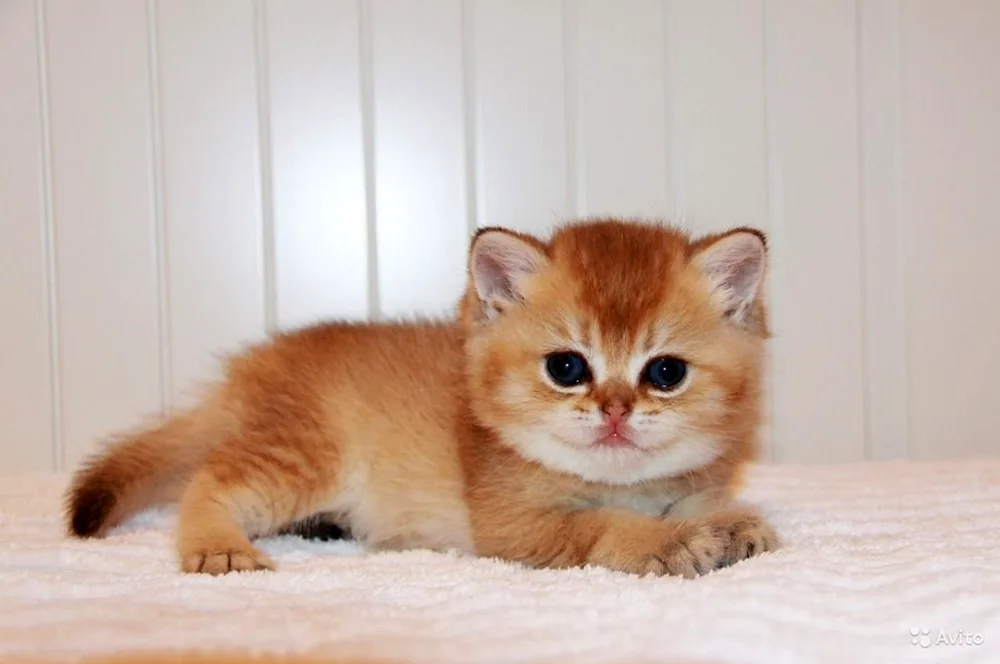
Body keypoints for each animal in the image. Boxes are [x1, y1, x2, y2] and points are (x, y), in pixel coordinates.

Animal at [66, 218, 776, 576]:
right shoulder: (517, 527)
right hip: (305, 456)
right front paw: (670, 543)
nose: (616, 410)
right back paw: (219, 546)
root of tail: (248, 370)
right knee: (208, 478)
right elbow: (600, 527)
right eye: (567, 367)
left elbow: (701, 498)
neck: (622, 483)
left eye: (665, 373)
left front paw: (730, 523)